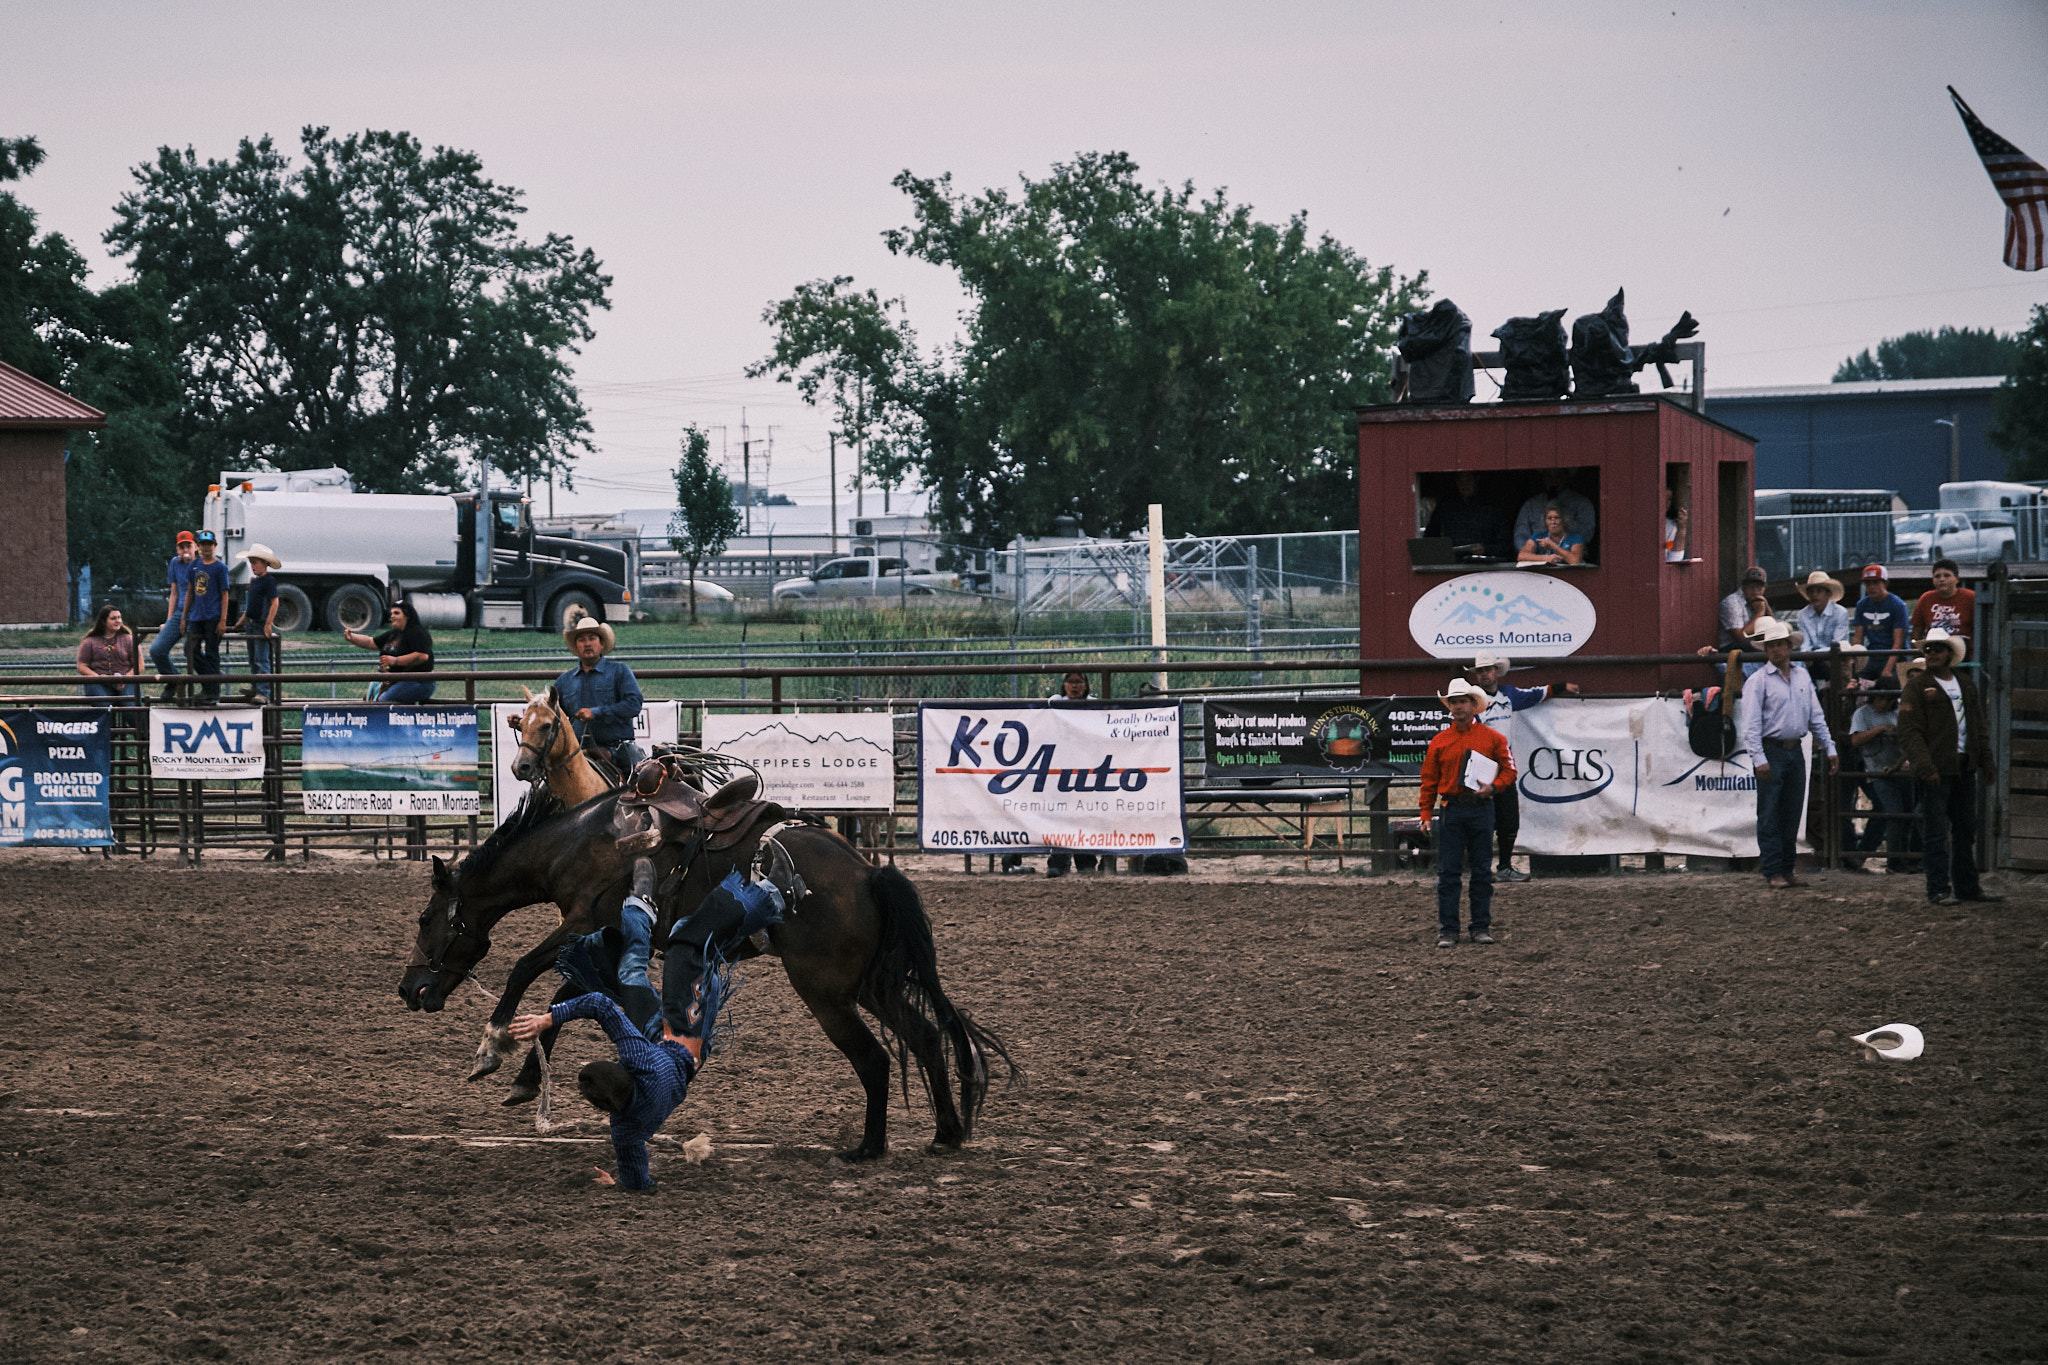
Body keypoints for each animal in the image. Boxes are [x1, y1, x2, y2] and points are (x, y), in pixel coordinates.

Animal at [395, 777, 1011, 1162]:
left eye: (426, 918)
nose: (409, 989)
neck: (580, 843)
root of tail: (867, 872)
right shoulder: (611, 937)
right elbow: (564, 998)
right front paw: (526, 1079)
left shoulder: (582, 923)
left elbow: (525, 971)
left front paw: (492, 1048)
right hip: (865, 984)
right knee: (926, 1036)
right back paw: (945, 1134)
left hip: (826, 992)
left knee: (876, 1058)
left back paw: (866, 1149)